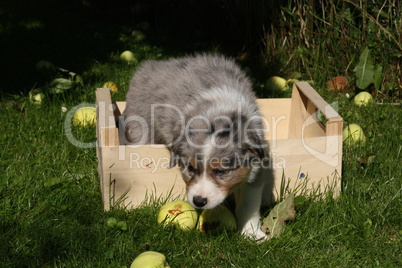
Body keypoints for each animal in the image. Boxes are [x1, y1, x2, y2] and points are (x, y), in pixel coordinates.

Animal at [122, 53, 270, 240]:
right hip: (140, 126)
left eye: (220, 171)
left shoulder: (256, 168)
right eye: (191, 168)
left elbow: (249, 204)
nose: (199, 201)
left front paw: (252, 234)